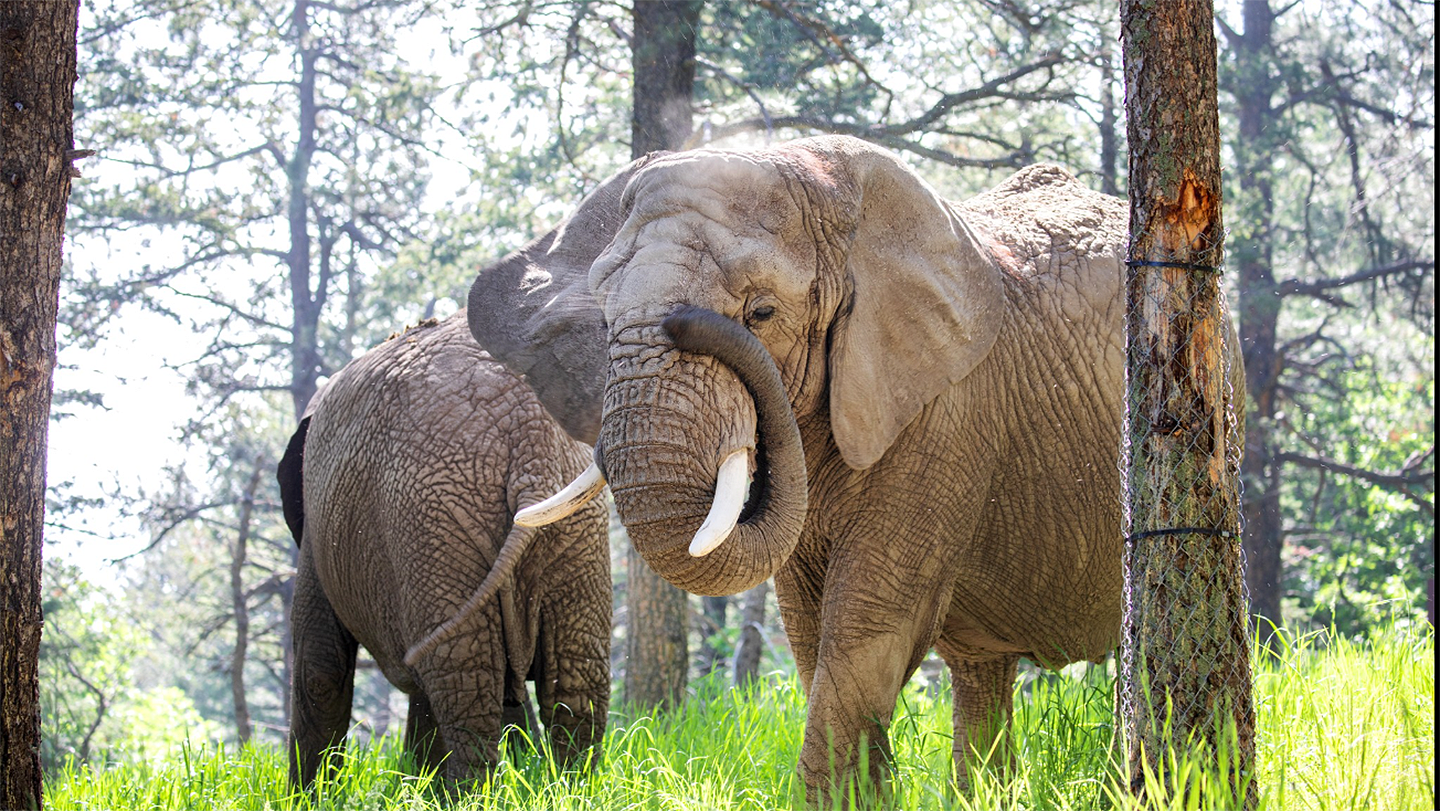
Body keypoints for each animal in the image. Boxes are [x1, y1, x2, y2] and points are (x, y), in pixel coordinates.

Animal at [276, 311, 611, 787]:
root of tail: (528, 439)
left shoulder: (317, 534)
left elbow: (320, 669)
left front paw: (305, 798)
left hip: (432, 522)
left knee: (464, 681)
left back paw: (469, 793)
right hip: (571, 529)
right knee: (574, 683)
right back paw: (570, 789)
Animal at [466, 135, 1242, 800]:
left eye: (761, 311)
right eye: (603, 323)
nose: (688, 320)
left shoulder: (947, 413)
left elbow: (867, 624)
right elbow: (811, 633)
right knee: (980, 673)